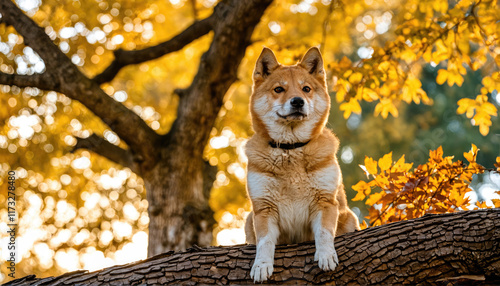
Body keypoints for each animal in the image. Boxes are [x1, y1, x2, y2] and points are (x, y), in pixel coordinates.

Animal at [245, 47, 360, 282]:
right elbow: (264, 242)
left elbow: (324, 233)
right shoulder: (263, 209)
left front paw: (326, 256)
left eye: (306, 89)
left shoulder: (325, 202)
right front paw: (261, 265)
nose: (297, 101)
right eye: (279, 89)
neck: (291, 150)